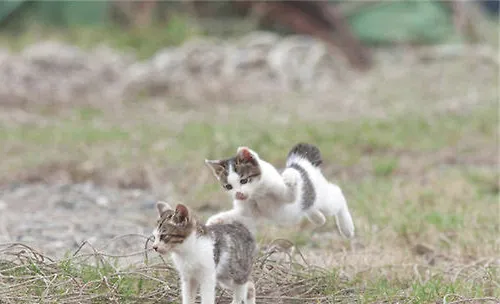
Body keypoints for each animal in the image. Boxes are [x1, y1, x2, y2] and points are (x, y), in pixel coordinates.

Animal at [204, 143, 356, 240]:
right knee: (310, 206)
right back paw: (318, 218)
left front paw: (290, 175)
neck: (257, 194)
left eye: (244, 181)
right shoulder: (248, 212)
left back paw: (347, 228)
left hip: (324, 198)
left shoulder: (286, 195)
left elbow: (290, 193)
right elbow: (236, 215)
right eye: (228, 186)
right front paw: (215, 219)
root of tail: (303, 163)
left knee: (338, 194)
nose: (239, 194)